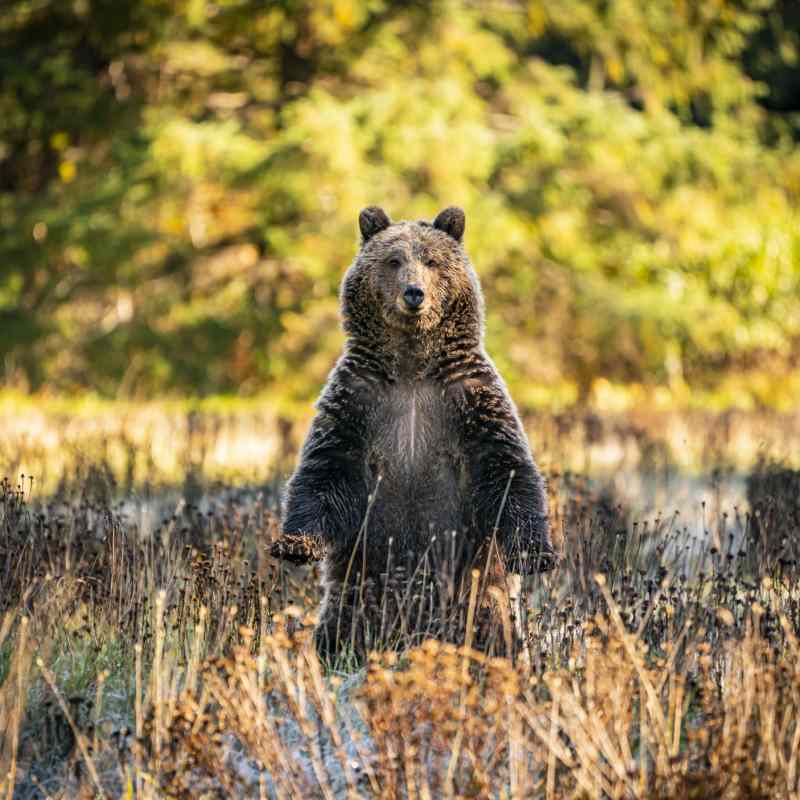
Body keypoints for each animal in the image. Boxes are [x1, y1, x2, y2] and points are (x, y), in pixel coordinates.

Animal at [270, 206, 555, 660]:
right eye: (393, 260)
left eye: (432, 261)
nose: (414, 293)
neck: (411, 367)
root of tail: (414, 631)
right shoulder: (358, 401)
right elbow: (325, 471)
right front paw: (294, 544)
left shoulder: (469, 400)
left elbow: (507, 470)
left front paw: (535, 555)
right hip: (358, 589)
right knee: (338, 629)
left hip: (477, 594)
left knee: (496, 632)